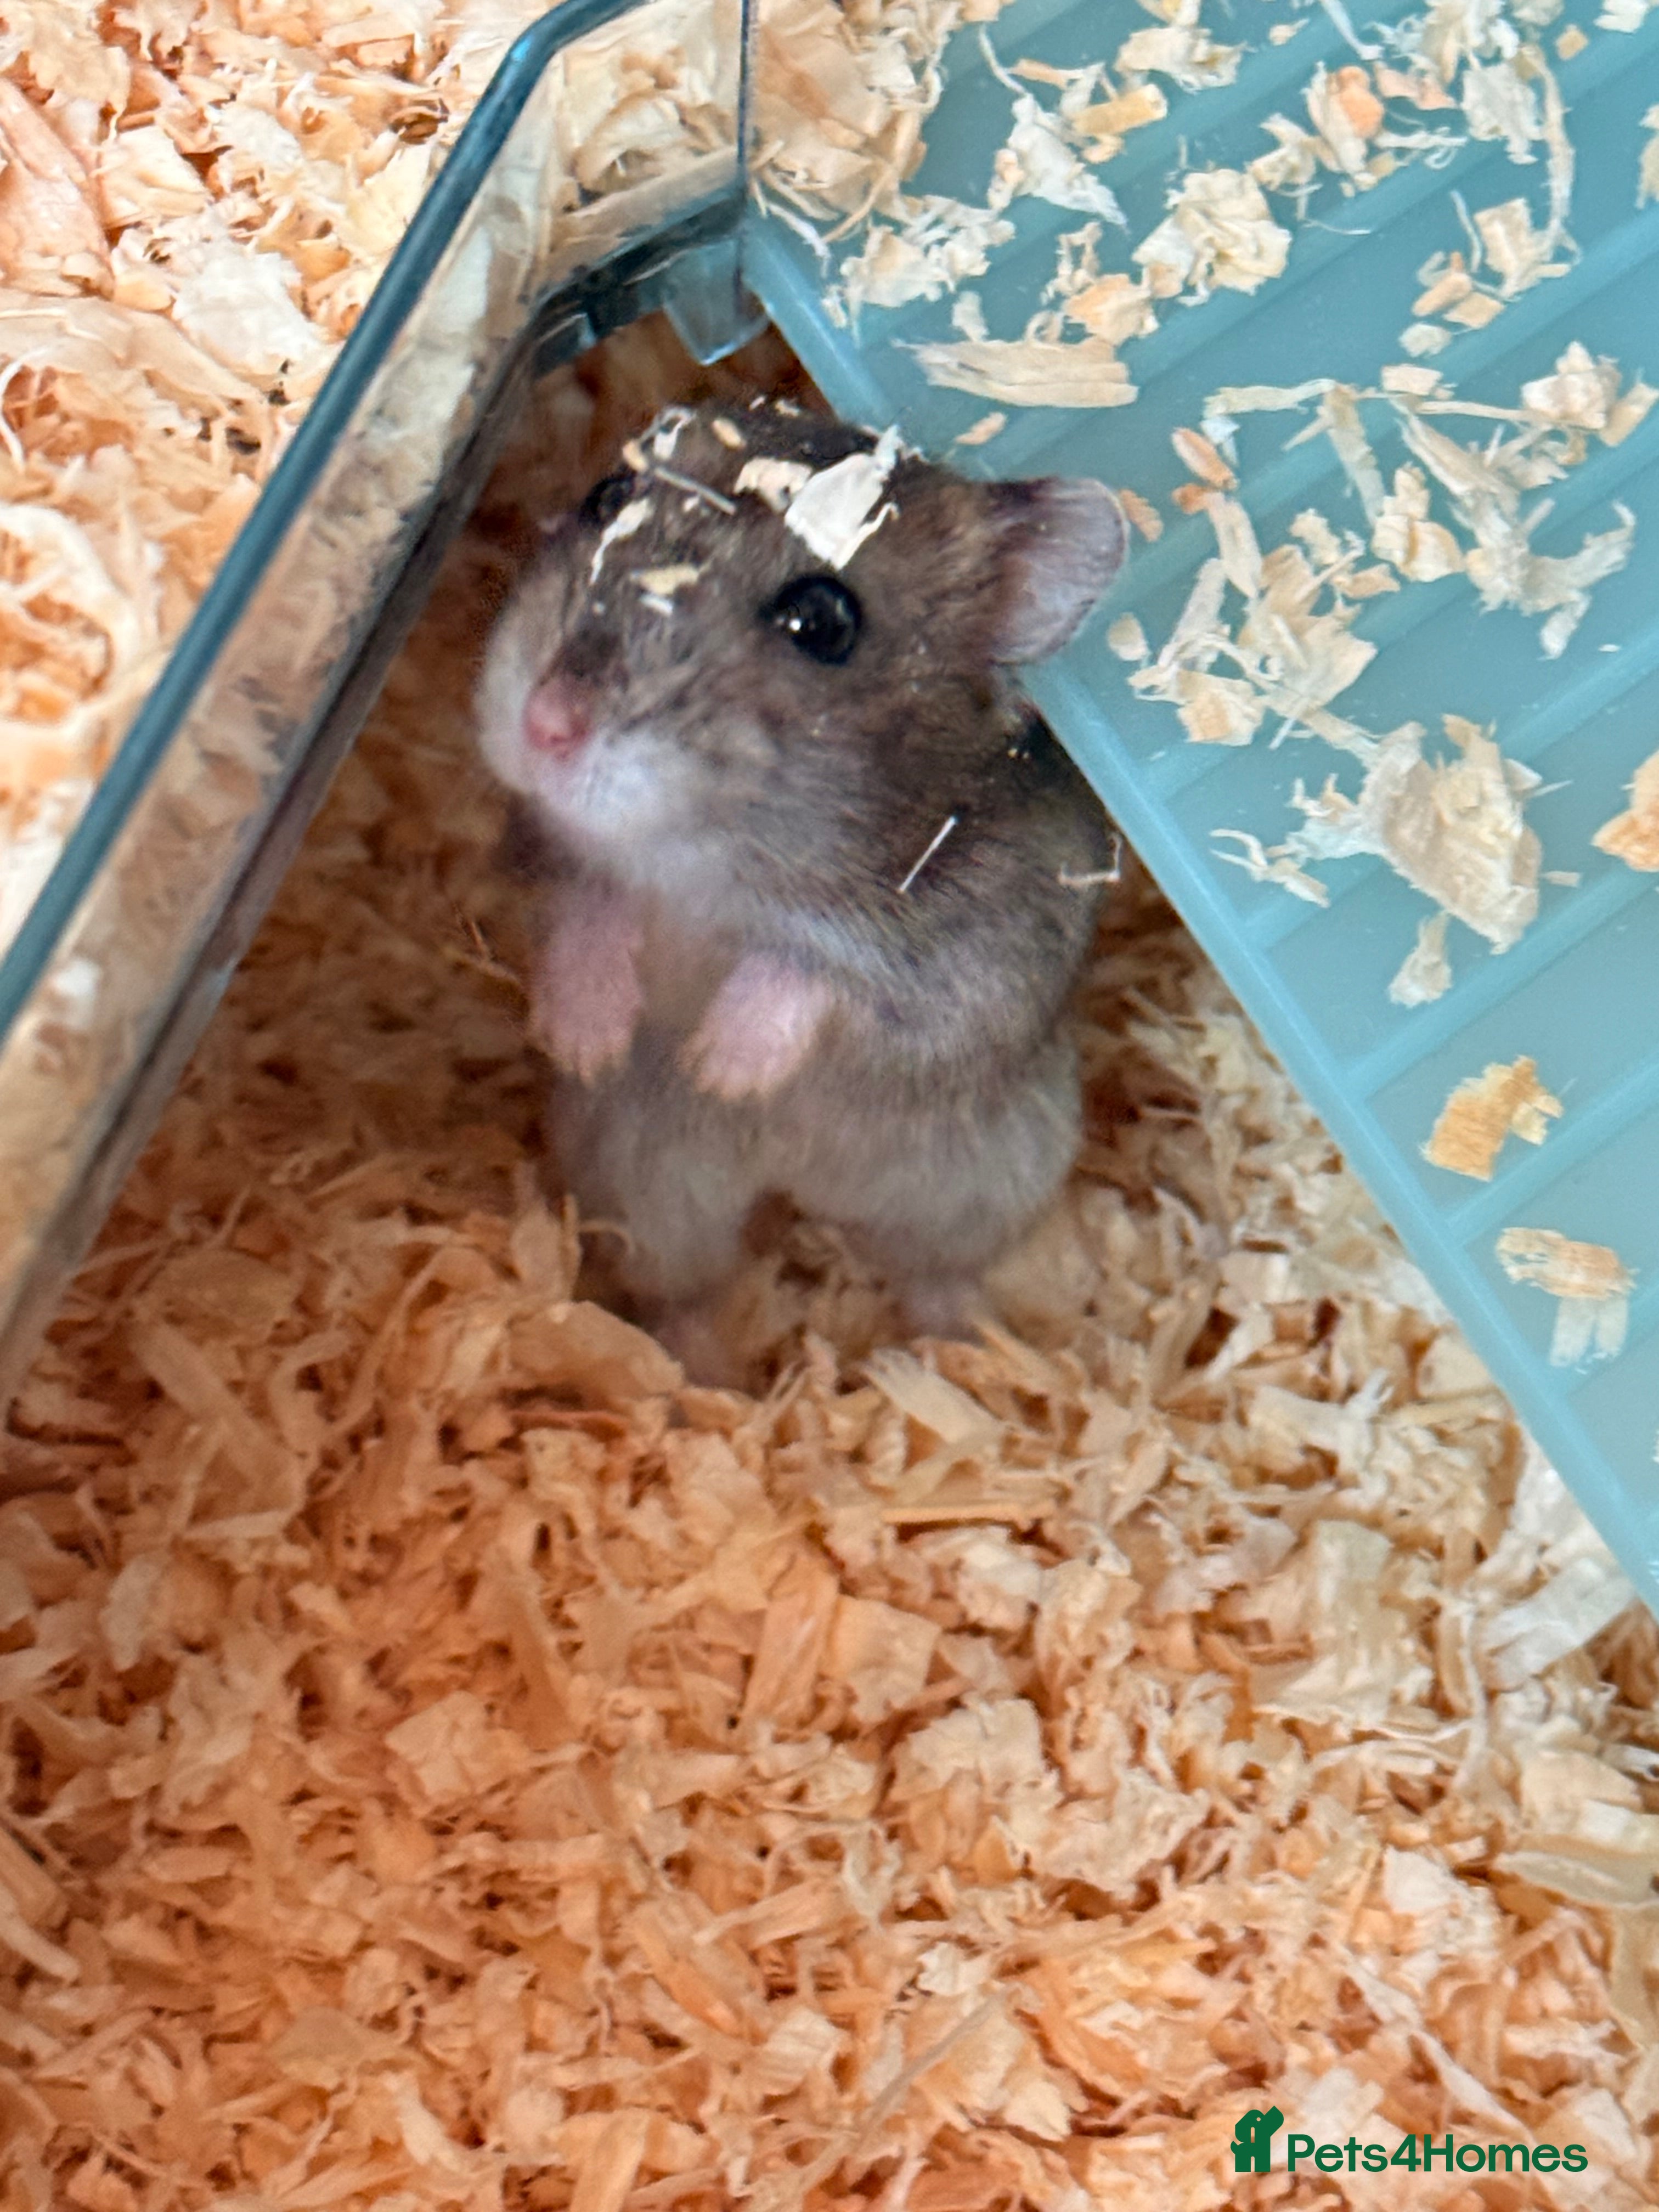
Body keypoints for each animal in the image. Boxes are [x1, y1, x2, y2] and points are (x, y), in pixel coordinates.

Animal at [476, 398, 1127, 1358]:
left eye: (822, 621)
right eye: (608, 494)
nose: (546, 724)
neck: (708, 859)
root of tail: (796, 1187)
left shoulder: (977, 954)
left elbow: (816, 969)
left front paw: (720, 1066)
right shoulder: (536, 856)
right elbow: (585, 904)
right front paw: (587, 1042)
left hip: (987, 1183)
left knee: (933, 1271)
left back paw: (965, 1346)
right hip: (647, 1188)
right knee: (687, 1289)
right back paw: (700, 1373)